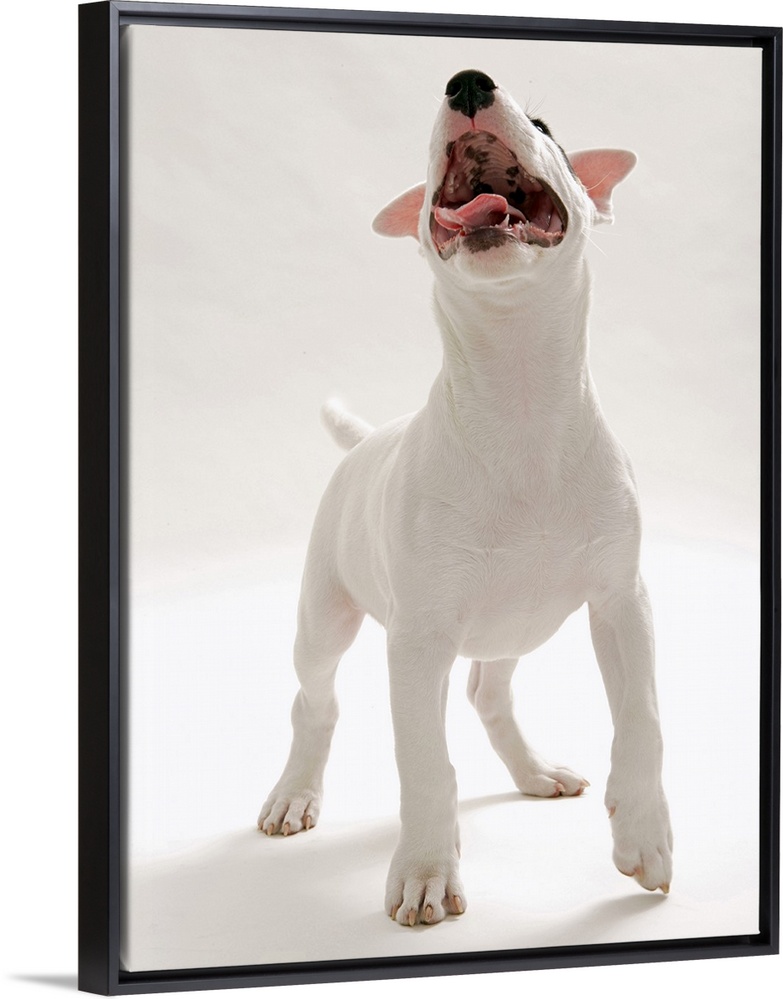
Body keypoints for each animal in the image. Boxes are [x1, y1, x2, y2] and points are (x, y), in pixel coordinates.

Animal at [258, 69, 673, 926]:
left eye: (544, 126)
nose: (469, 82)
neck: (520, 396)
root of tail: (366, 441)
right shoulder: (417, 640)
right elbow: (424, 762)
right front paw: (423, 872)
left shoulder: (622, 600)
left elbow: (642, 719)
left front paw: (645, 836)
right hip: (325, 615)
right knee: (314, 701)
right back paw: (294, 794)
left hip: (515, 621)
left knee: (488, 691)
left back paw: (534, 770)